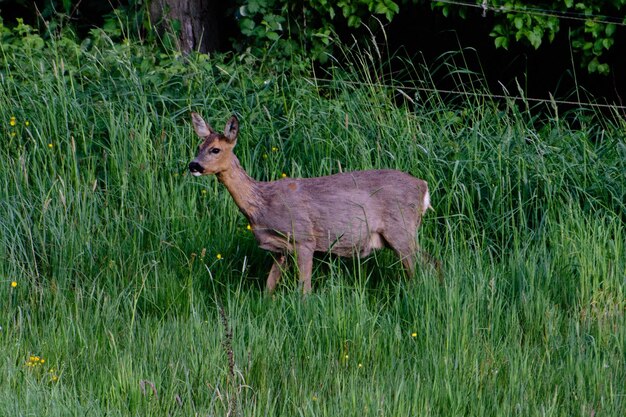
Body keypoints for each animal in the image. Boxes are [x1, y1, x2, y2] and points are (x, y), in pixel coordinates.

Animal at [189, 111, 434, 292]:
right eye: (199, 147)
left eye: (215, 149)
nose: (193, 165)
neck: (262, 202)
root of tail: (423, 187)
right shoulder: (281, 249)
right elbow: (269, 286)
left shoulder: (304, 237)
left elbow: (304, 289)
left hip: (401, 229)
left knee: (423, 267)